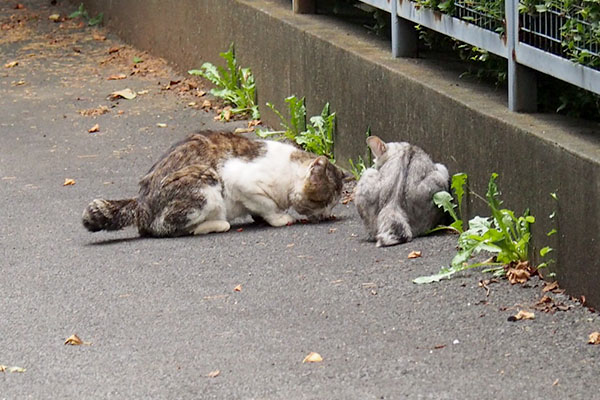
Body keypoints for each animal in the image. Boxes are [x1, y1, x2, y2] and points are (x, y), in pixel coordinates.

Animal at [82, 131, 344, 238]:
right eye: (326, 201)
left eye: (334, 203)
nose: (328, 214)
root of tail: (140, 204)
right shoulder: (242, 182)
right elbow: (267, 205)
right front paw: (279, 218)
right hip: (205, 182)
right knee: (168, 228)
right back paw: (218, 224)